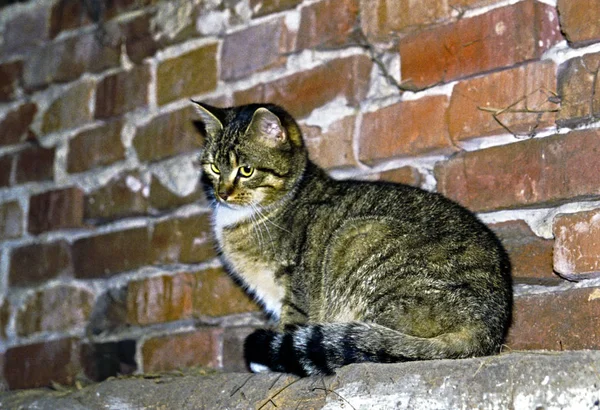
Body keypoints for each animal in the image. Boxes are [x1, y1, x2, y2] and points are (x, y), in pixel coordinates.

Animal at [192, 101, 510, 376]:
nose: (222, 193)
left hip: (361, 240)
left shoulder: (296, 283)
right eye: (214, 167)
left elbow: (292, 321)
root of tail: (488, 328)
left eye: (246, 170)